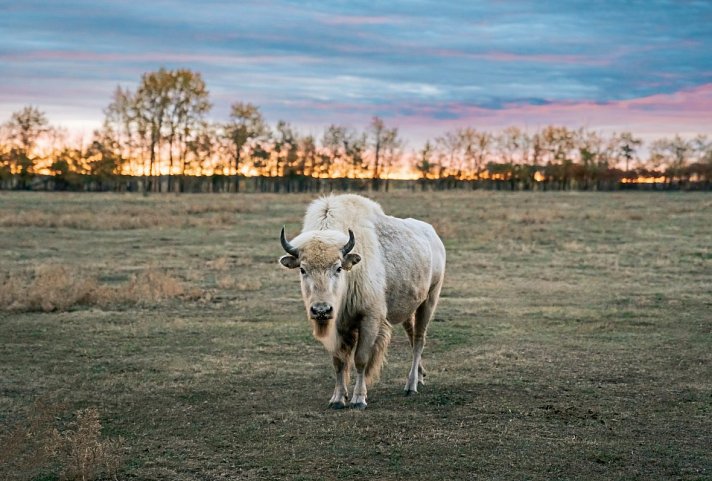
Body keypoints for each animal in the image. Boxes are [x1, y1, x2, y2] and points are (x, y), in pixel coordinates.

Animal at [278, 193, 444, 406]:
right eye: (302, 269)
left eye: (338, 268)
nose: (321, 310)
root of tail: (433, 236)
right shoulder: (338, 326)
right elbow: (339, 362)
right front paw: (338, 398)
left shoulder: (369, 319)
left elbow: (361, 359)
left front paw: (358, 398)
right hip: (409, 308)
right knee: (411, 335)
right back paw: (421, 376)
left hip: (429, 299)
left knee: (419, 339)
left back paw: (411, 385)